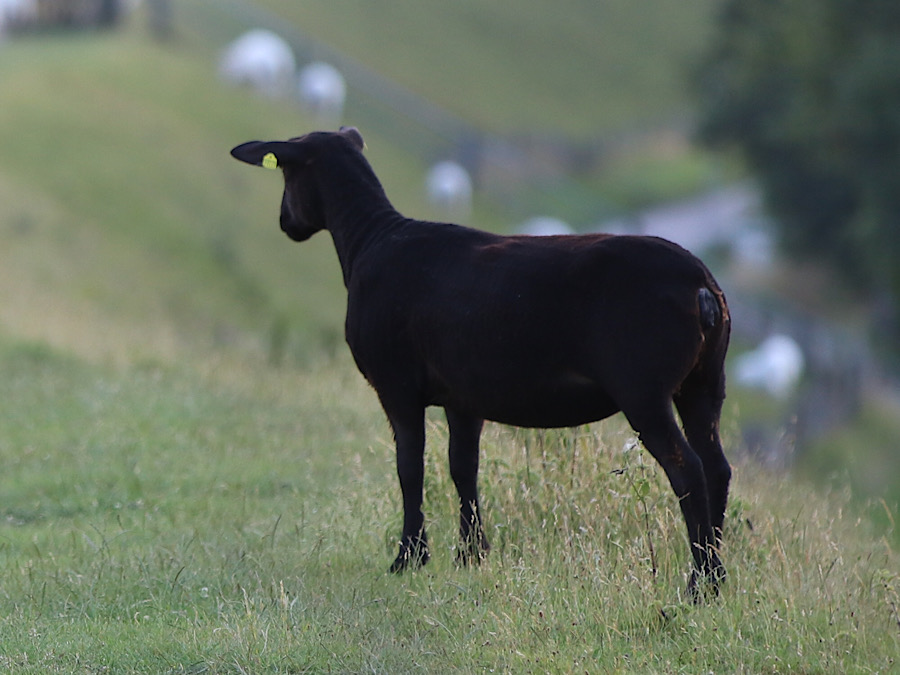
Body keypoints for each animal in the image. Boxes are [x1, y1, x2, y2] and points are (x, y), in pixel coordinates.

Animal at [231, 127, 732, 599]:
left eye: (286, 171)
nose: (285, 221)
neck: (369, 239)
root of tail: (701, 285)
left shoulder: (397, 385)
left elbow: (409, 467)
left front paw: (409, 557)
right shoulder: (463, 396)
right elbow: (462, 468)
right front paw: (471, 555)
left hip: (643, 386)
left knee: (688, 471)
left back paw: (699, 585)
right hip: (704, 381)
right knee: (718, 468)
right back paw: (718, 577)